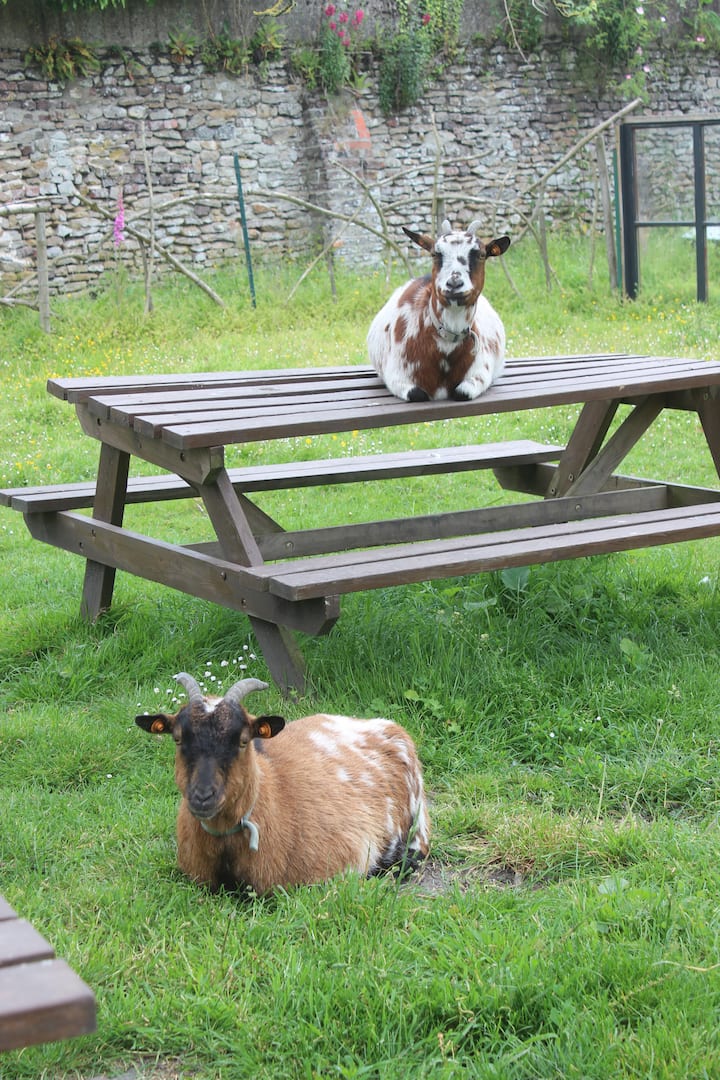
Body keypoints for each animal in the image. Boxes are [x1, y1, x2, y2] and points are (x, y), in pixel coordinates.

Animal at [367, 220, 510, 402]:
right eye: (435, 254)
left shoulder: (480, 374)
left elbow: (461, 392)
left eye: (481, 255)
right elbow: (418, 394)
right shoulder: (397, 377)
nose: (454, 284)